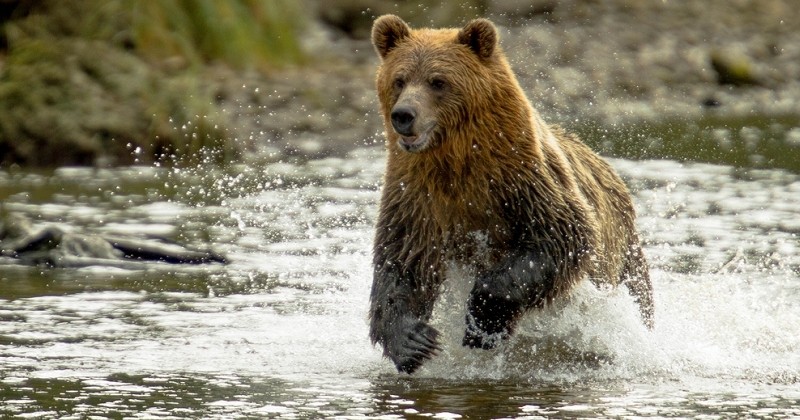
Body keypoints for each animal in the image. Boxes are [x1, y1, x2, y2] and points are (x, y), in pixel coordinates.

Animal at [366, 14, 652, 374]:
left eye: (438, 81)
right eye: (399, 79)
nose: (404, 115)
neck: (457, 163)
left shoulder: (523, 180)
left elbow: (560, 238)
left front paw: (482, 324)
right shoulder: (416, 197)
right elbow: (403, 262)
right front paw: (414, 341)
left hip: (625, 258)